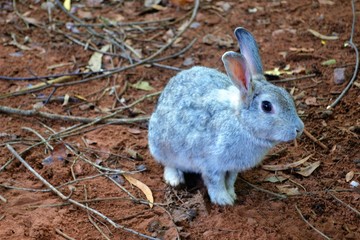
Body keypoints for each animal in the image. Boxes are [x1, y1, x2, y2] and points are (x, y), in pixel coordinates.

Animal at [147, 27, 304, 204]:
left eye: (287, 95)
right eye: (266, 106)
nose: (299, 129)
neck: (241, 122)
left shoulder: (233, 167)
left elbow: (230, 180)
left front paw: (232, 194)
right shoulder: (212, 164)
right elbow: (215, 183)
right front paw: (224, 200)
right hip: (161, 145)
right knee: (168, 163)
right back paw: (174, 179)